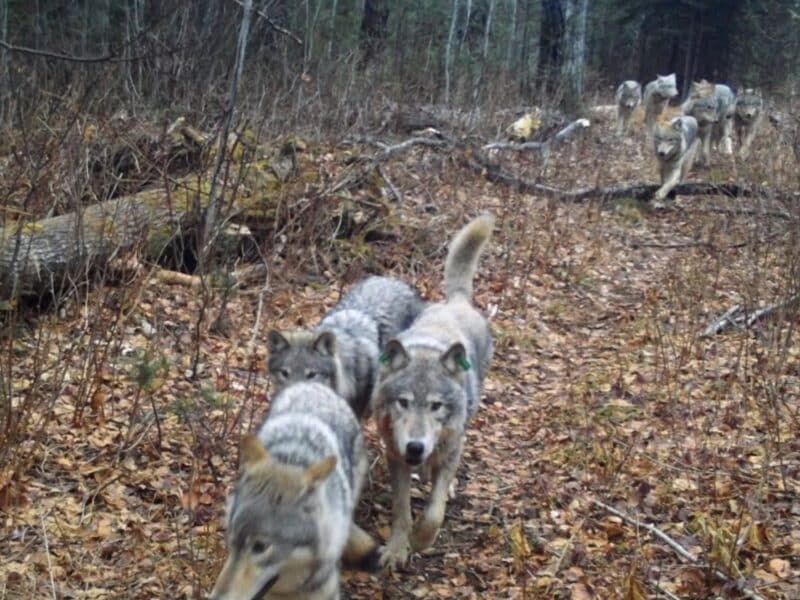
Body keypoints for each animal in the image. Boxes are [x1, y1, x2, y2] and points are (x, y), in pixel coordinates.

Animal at [371, 214, 494, 569]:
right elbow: (401, 510)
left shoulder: (451, 446)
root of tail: (456, 302)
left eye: (436, 406)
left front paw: (420, 541)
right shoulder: (395, 456)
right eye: (403, 402)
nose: (415, 446)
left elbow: (434, 513)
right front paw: (397, 549)